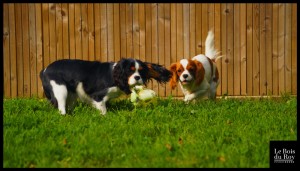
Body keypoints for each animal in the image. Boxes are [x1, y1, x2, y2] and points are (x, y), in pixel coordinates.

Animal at [39, 58, 171, 115]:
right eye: (130, 70)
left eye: (141, 71)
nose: (138, 77)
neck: (115, 76)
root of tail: (44, 70)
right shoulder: (98, 96)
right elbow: (103, 110)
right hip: (60, 90)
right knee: (61, 107)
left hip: (71, 94)